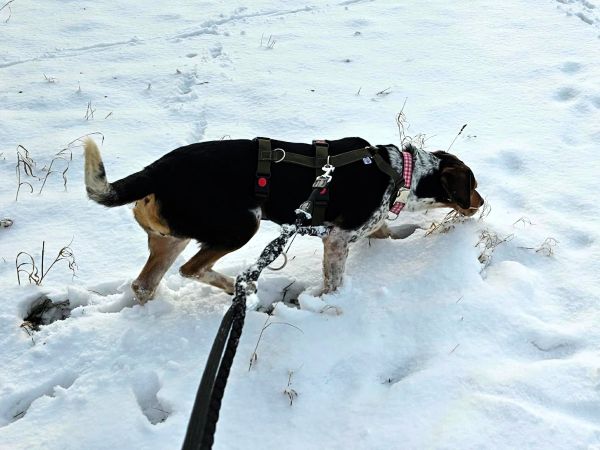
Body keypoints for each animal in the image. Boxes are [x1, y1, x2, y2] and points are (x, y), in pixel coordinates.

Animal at [84, 137, 483, 303]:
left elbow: (395, 233)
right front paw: (328, 302)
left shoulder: (372, 227)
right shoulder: (337, 238)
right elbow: (334, 281)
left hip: (172, 236)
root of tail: (154, 171)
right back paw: (237, 286)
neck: (400, 172)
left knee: (144, 285)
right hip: (243, 223)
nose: (481, 203)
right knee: (192, 269)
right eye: (474, 186)